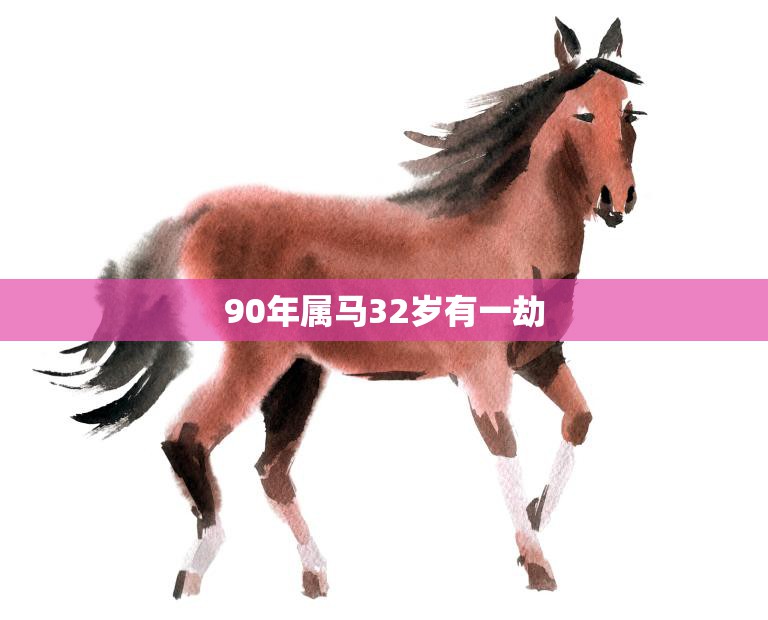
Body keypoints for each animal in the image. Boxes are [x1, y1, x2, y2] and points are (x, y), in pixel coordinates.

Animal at [44, 18, 643, 598]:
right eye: (584, 113)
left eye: (630, 112)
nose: (618, 199)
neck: (511, 239)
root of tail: (203, 211)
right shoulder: (484, 375)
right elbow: (506, 452)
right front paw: (537, 565)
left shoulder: (540, 359)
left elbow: (579, 419)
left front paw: (536, 521)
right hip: (256, 360)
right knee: (187, 438)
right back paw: (194, 571)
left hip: (298, 371)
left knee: (270, 469)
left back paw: (313, 577)